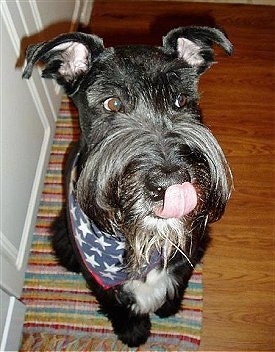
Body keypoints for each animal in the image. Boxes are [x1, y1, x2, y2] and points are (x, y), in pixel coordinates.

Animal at [23, 26, 234, 346]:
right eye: (112, 103)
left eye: (181, 100)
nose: (171, 182)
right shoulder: (99, 277)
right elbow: (116, 303)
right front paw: (133, 332)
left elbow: (178, 278)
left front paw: (168, 308)